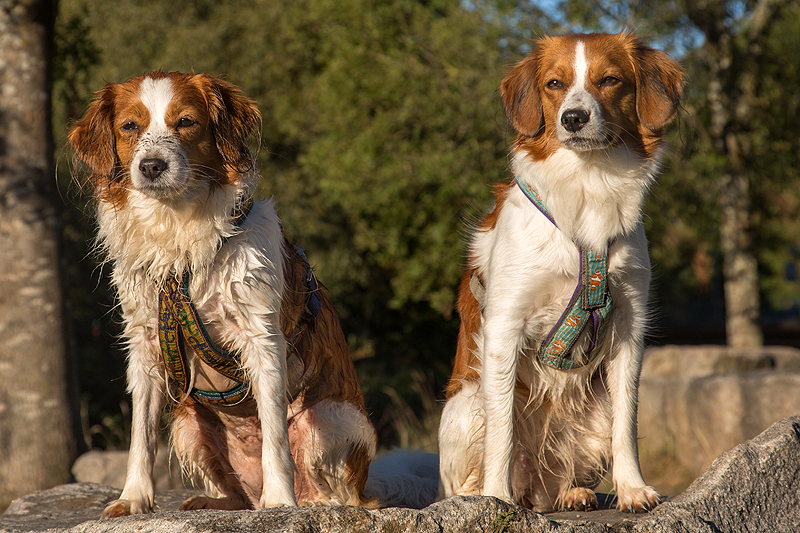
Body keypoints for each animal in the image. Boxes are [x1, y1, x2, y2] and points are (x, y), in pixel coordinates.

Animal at [69, 70, 382, 516]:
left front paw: (280, 500)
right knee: (237, 496)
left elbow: (275, 437)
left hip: (332, 416)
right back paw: (210, 502)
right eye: (129, 126)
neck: (178, 237)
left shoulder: (263, 341)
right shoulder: (145, 345)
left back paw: (303, 501)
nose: (151, 166)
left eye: (186, 122)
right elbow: (140, 435)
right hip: (186, 423)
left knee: (339, 498)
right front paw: (133, 498)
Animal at [438, 32, 680, 512]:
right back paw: (484, 496)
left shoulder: (630, 322)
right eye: (554, 83)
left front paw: (632, 488)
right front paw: (496, 497)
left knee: (555, 482)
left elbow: (627, 418)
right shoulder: (504, 324)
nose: (573, 118)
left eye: (610, 80)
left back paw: (571, 493)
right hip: (465, 404)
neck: (588, 183)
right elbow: (503, 429)